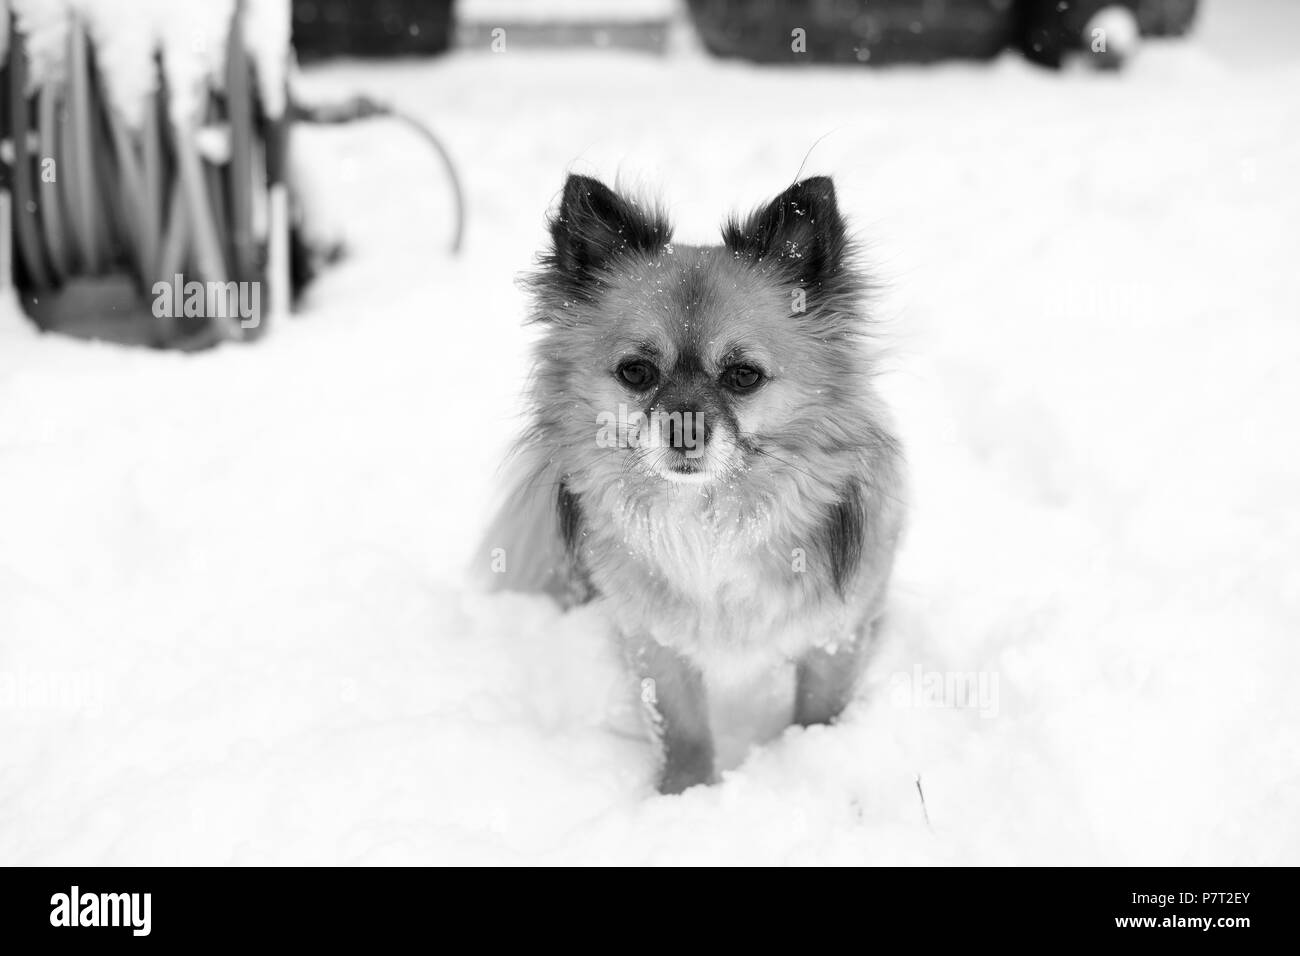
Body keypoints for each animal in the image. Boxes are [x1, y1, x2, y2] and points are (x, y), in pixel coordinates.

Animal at [486, 171, 904, 790]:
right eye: (636, 372)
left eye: (743, 376)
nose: (685, 430)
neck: (712, 520)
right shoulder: (654, 645)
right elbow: (683, 733)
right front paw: (684, 796)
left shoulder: (838, 633)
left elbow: (818, 711)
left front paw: (813, 755)